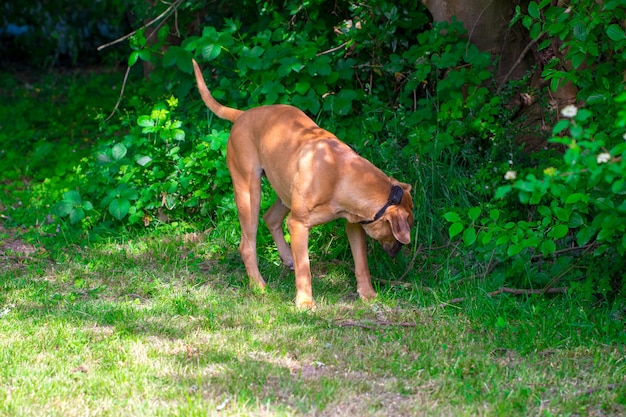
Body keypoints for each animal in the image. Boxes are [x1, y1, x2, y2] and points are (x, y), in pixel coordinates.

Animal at [193, 59, 412, 306]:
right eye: (408, 226)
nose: (397, 253)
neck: (341, 176)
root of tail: (242, 115)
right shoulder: (298, 225)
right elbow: (304, 268)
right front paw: (305, 302)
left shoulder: (354, 225)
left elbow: (361, 263)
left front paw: (367, 293)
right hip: (249, 192)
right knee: (247, 244)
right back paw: (258, 285)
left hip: (284, 191)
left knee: (270, 218)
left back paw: (286, 257)